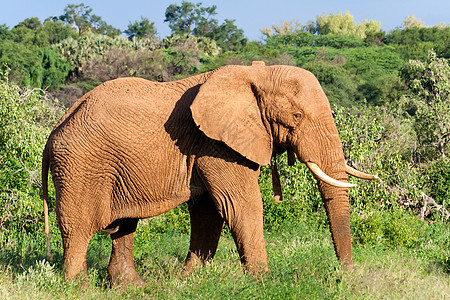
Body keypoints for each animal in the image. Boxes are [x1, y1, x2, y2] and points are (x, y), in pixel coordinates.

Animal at [41, 61, 376, 286]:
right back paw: (77, 288)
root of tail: (55, 128)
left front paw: (188, 280)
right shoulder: (216, 144)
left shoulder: (209, 145)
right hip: (80, 167)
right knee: (78, 228)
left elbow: (208, 211)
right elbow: (240, 205)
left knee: (124, 226)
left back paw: (131, 287)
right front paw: (263, 283)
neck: (257, 74)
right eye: (297, 116)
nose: (344, 275)